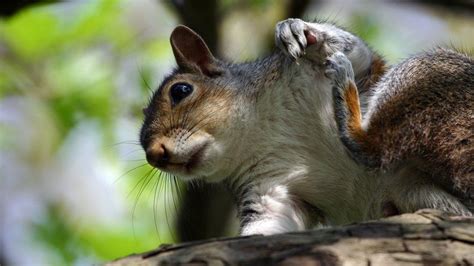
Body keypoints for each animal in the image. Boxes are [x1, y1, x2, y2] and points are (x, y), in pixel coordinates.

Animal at [139, 18, 472, 235]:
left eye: (181, 90)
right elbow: (268, 226)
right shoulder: (268, 192)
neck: (258, 131)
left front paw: (299, 30)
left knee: (371, 146)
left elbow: (358, 53)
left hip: (427, 76)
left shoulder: (348, 71)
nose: (154, 154)